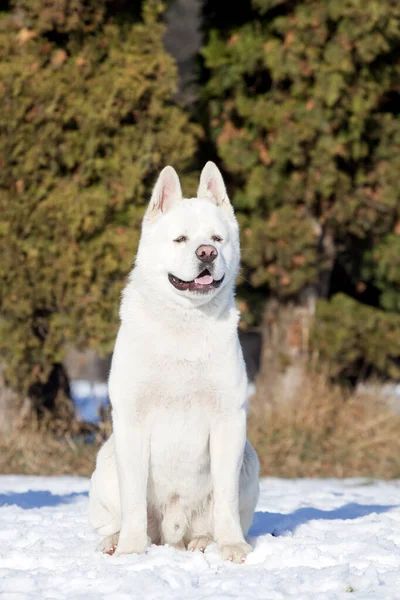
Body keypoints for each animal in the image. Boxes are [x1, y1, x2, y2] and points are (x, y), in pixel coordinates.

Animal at [88, 161, 260, 564]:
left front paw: (232, 547)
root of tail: (173, 534)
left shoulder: (228, 420)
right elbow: (134, 500)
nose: (206, 253)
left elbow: (225, 498)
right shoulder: (132, 421)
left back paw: (202, 543)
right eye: (181, 240)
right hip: (105, 462)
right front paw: (131, 550)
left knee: (207, 523)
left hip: (250, 458)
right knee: (116, 518)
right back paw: (114, 541)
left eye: (217, 239)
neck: (185, 324)